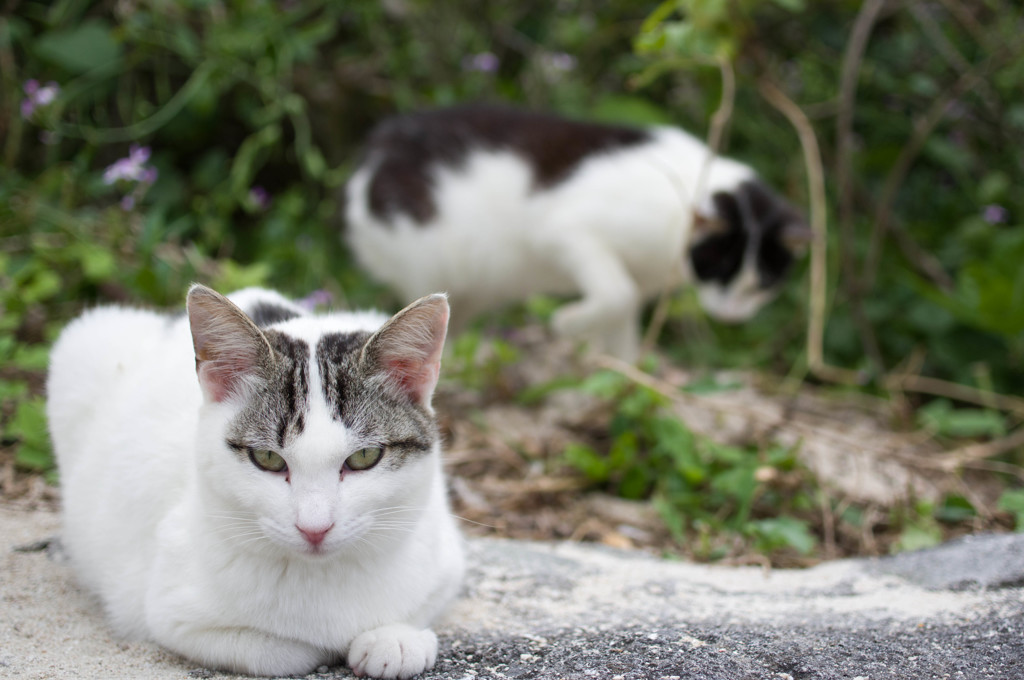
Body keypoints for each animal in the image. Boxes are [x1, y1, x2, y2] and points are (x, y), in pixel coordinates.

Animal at [47, 284, 464, 675]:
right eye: (268, 459)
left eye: (364, 457)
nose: (315, 528)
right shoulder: (170, 614)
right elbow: (284, 651)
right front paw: (330, 645)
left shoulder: (444, 554)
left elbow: (422, 604)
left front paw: (397, 638)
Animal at [348, 103, 811, 358]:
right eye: (721, 267)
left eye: (761, 285)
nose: (732, 315)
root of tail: (377, 142)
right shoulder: (565, 230)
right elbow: (617, 295)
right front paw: (566, 324)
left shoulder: (640, 280)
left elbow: (624, 313)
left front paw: (624, 373)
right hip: (428, 260)